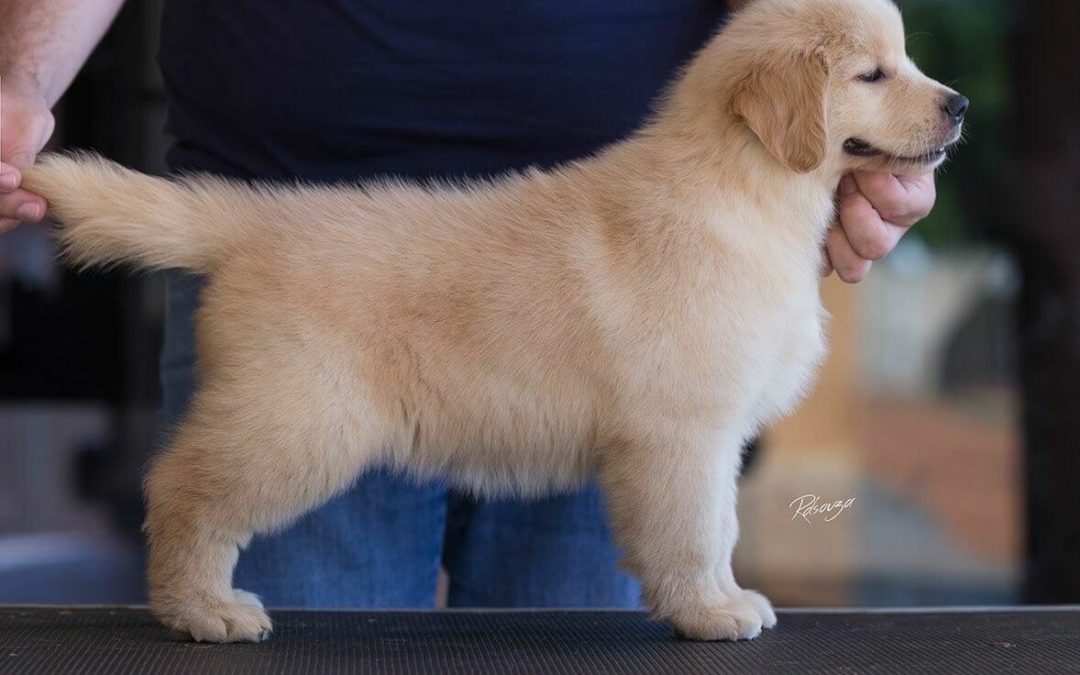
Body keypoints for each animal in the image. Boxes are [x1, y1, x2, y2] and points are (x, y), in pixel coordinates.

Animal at [23, 0, 963, 643]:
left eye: (905, 58)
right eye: (872, 75)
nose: (956, 104)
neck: (742, 184)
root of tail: (249, 221)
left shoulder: (702, 432)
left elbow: (719, 526)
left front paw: (722, 598)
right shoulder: (684, 432)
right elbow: (698, 529)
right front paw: (712, 609)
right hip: (298, 419)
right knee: (180, 487)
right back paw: (203, 607)